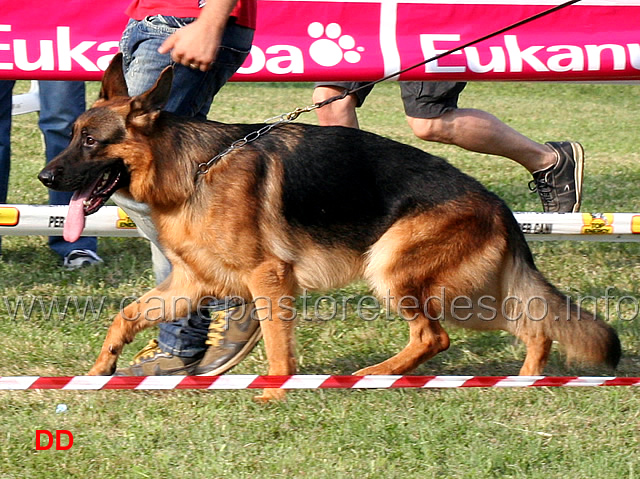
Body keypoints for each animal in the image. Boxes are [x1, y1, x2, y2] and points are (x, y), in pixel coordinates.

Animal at [37, 55, 616, 402]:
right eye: (73, 136)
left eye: (90, 141)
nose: (46, 177)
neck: (192, 169)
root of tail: (497, 204)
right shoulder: (192, 283)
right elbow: (125, 315)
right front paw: (98, 372)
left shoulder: (268, 278)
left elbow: (276, 345)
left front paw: (274, 392)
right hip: (466, 294)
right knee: (533, 324)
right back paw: (521, 380)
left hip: (394, 272)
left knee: (435, 335)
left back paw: (369, 376)